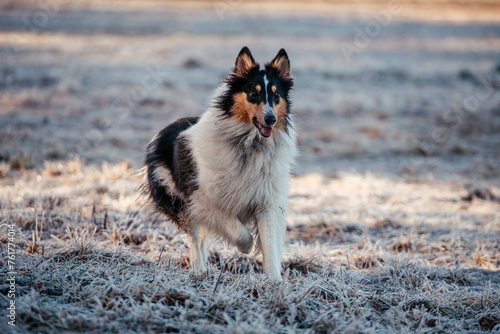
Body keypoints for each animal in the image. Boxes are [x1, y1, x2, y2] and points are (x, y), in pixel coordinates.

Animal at [141, 47, 296, 280]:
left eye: (277, 95)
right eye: (253, 93)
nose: (270, 120)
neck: (248, 144)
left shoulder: (266, 201)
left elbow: (269, 243)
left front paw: (275, 282)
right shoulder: (202, 199)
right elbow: (235, 227)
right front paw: (246, 246)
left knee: (202, 240)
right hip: (179, 203)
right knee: (195, 239)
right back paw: (199, 270)